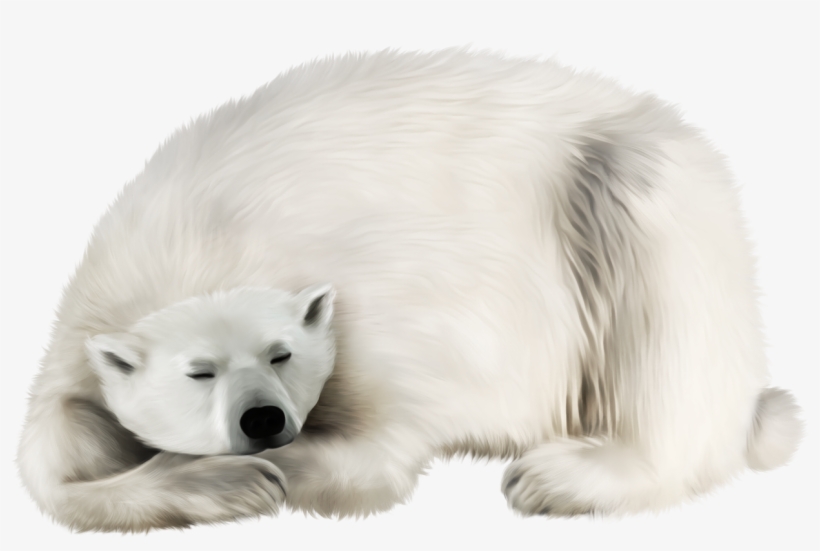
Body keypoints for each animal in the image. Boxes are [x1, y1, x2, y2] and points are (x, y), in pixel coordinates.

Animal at [17, 49, 803, 532]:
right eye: (198, 372)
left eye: (281, 354)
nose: (262, 420)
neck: (195, 248)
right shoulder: (80, 337)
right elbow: (48, 458)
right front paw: (199, 479)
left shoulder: (386, 326)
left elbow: (376, 456)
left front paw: (259, 473)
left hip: (635, 197)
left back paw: (564, 474)